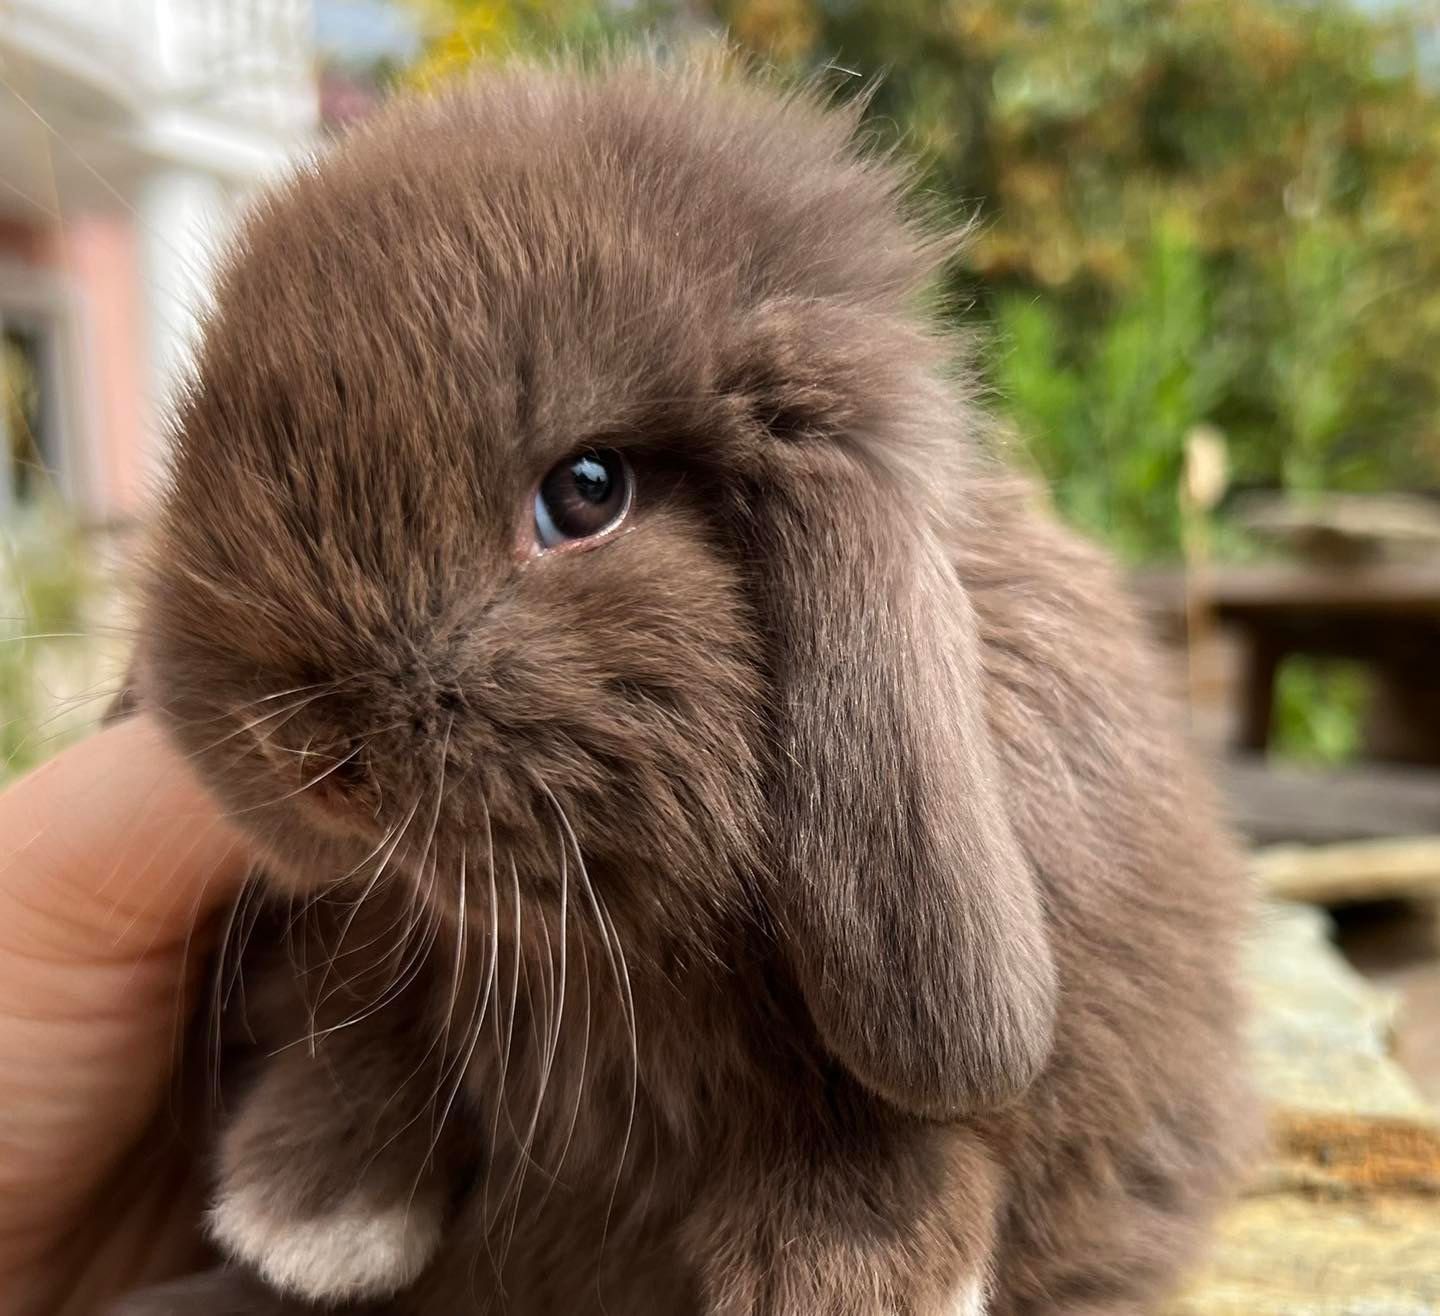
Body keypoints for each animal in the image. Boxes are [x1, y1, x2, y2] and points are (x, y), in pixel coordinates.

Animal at [109, 51, 1249, 1313]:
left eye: (589, 489)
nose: (306, 757)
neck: (596, 945)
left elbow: (905, 1116)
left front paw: (855, 1276)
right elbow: (363, 1012)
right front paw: (304, 1213)